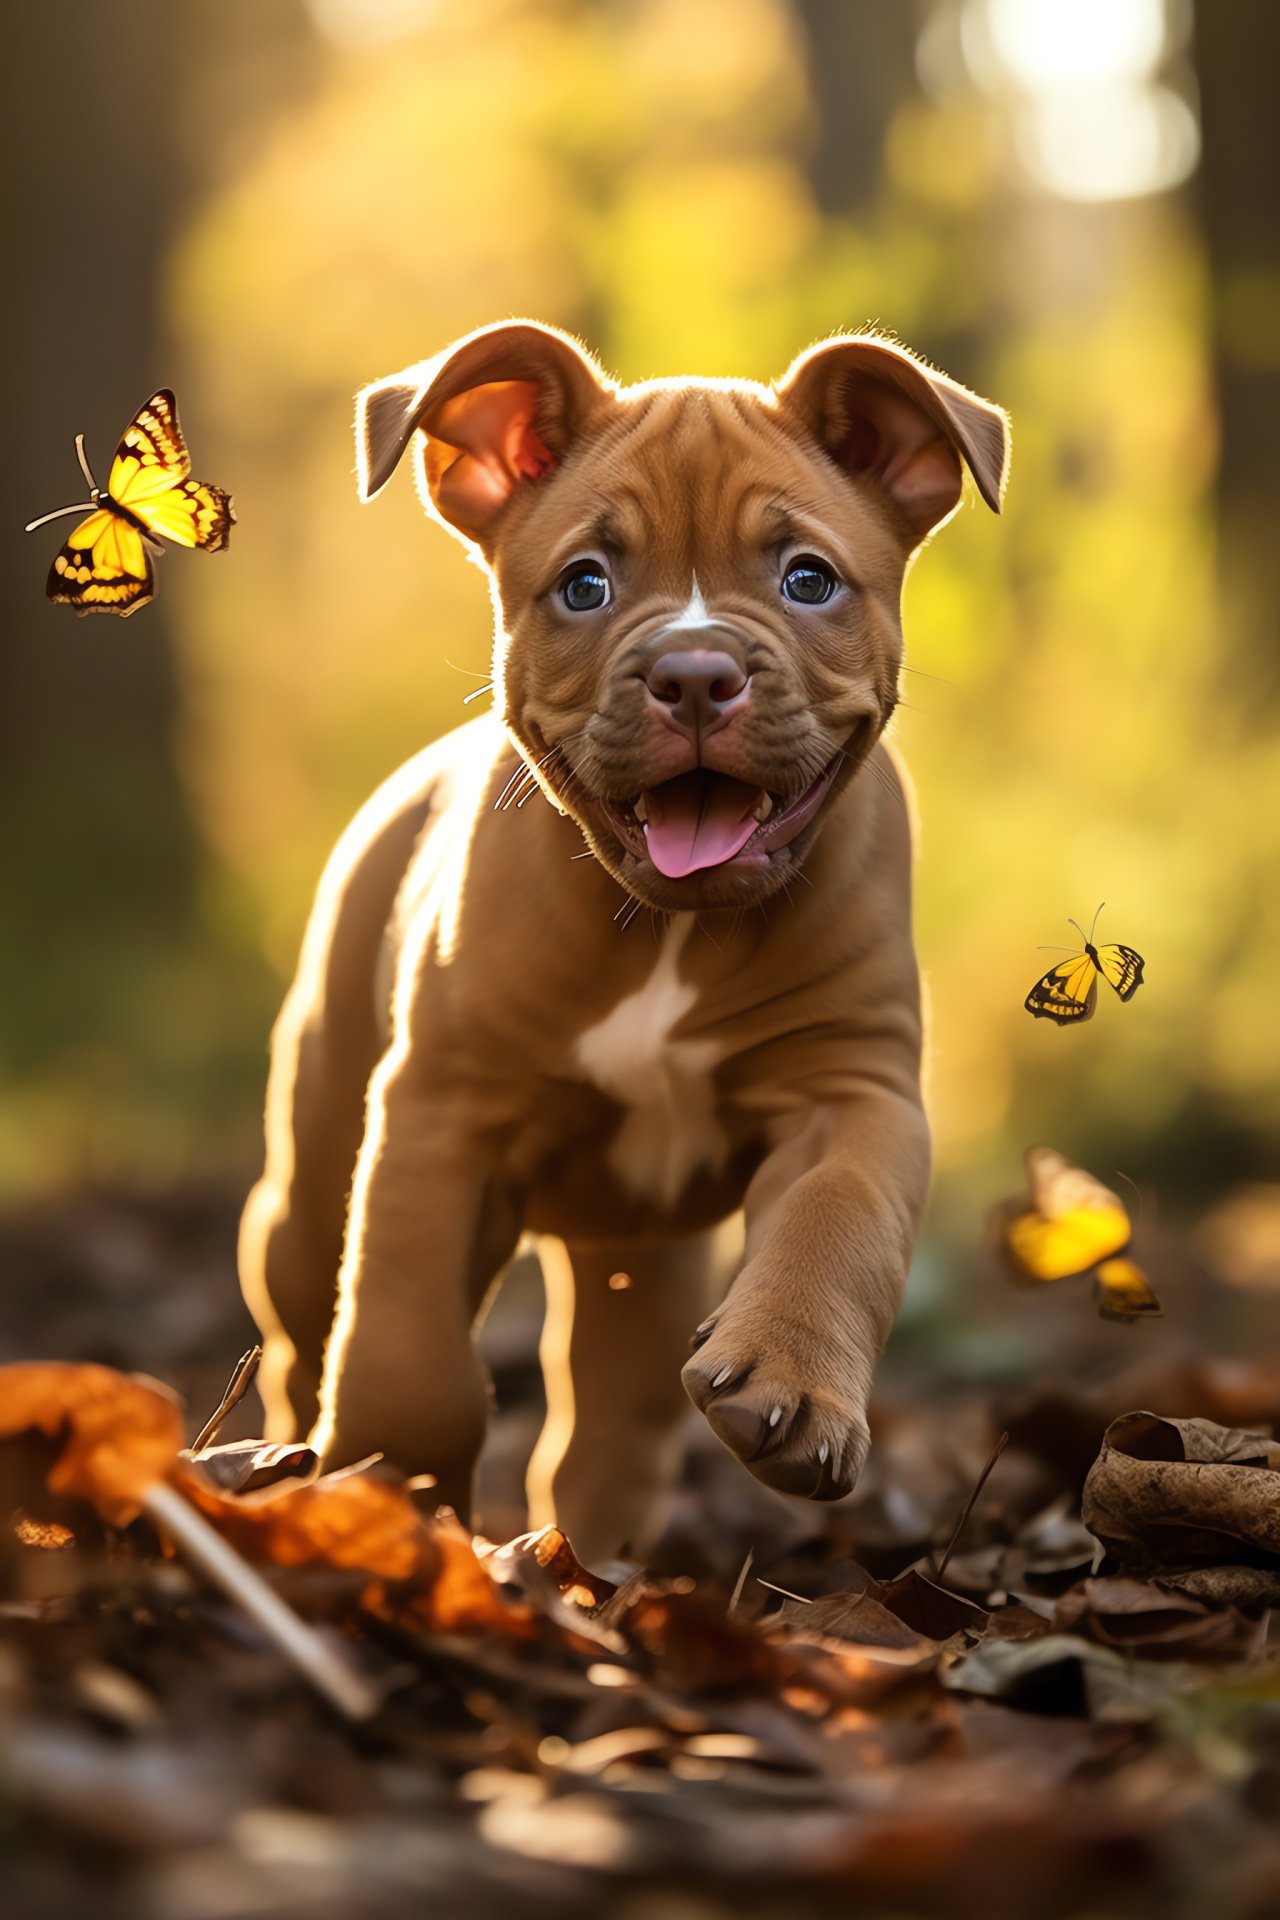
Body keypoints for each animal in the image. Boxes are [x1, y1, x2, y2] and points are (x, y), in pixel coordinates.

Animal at [235, 322, 1005, 1566]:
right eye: (583, 585)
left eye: (807, 580)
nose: (692, 673)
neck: (671, 929)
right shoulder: (440, 1117)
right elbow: (405, 1336)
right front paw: (388, 1484)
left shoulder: (853, 1090)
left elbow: (835, 1222)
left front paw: (790, 1386)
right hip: (310, 1173)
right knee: (307, 1320)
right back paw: (281, 1473)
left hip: (638, 1260)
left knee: (612, 1411)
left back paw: (589, 1557)